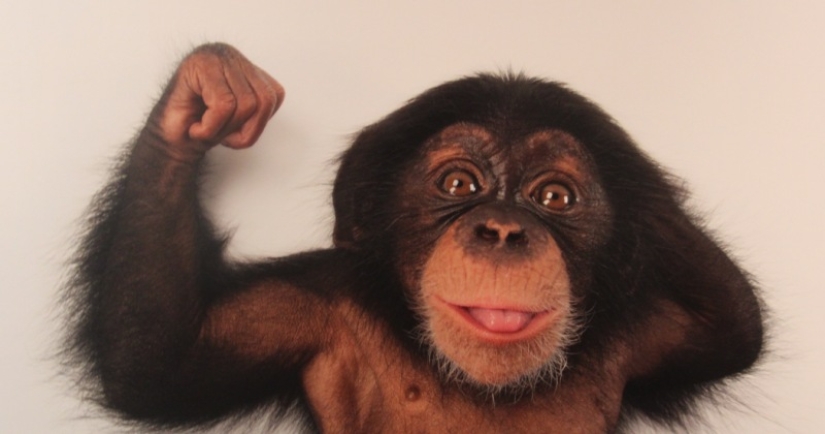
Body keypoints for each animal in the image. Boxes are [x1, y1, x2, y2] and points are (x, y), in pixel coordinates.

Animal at [63, 43, 764, 433]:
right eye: (458, 183)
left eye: (554, 198)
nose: (503, 229)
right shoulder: (308, 307)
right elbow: (160, 359)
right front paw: (203, 95)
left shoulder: (645, 333)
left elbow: (733, 330)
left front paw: (643, 186)